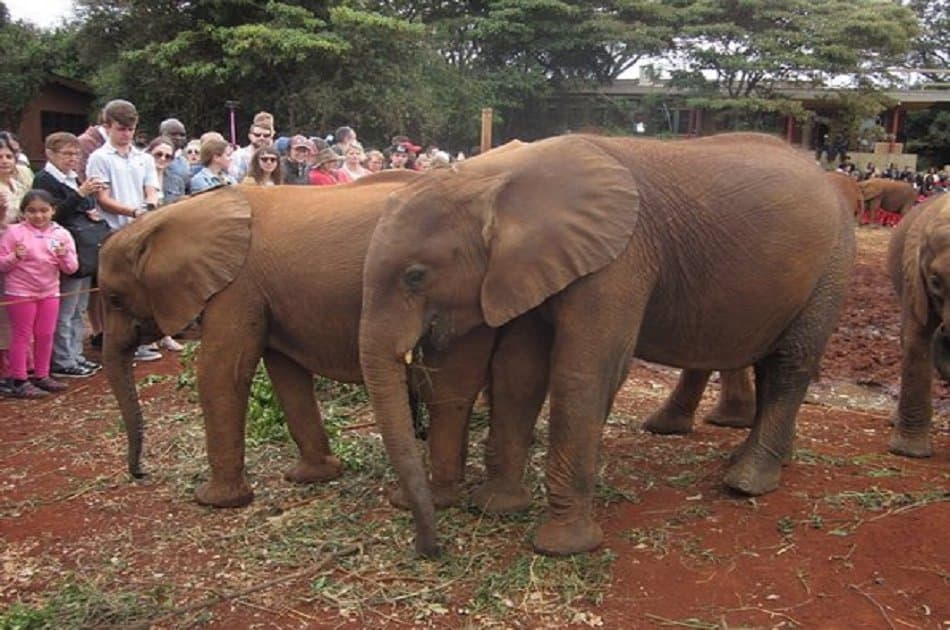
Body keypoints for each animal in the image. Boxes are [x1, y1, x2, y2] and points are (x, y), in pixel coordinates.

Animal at [99, 173, 494, 509]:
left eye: (115, 299)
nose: (140, 472)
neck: (176, 215)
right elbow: (285, 373)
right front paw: (312, 477)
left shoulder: (236, 288)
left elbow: (220, 375)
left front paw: (214, 501)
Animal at [359, 132, 856, 557]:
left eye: (415, 276)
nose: (431, 550)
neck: (495, 177)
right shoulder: (530, 267)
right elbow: (520, 373)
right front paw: (498, 507)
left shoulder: (619, 259)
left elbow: (583, 372)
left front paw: (562, 547)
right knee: (770, 360)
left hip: (833, 263)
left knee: (790, 362)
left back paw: (747, 481)